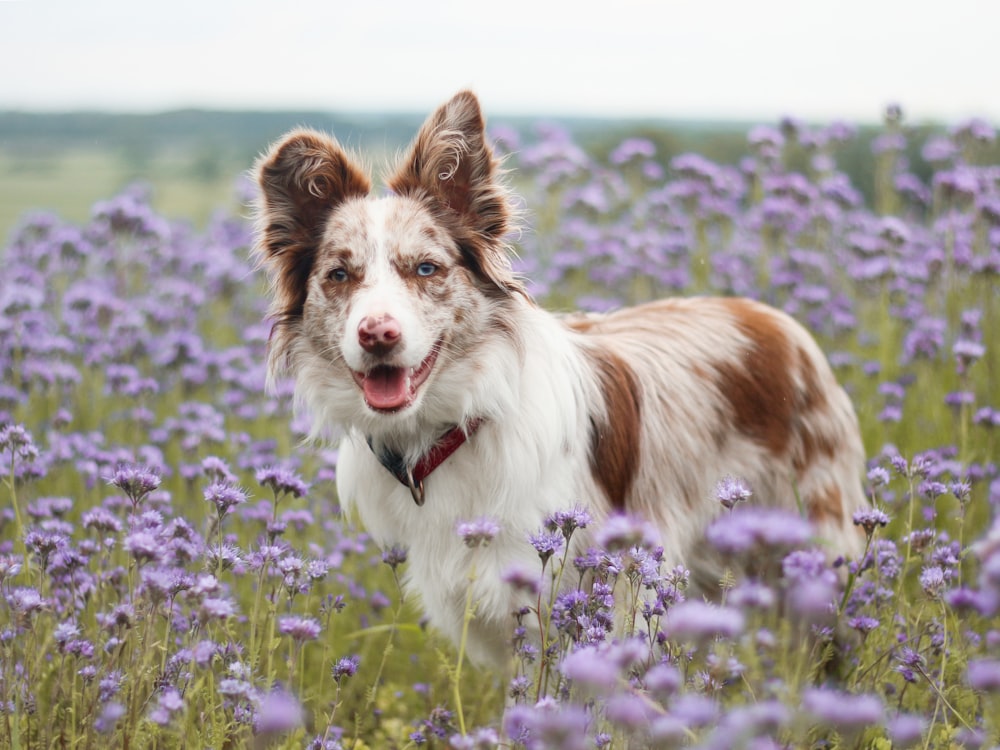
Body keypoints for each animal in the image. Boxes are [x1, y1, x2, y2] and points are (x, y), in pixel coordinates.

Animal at [252, 89, 868, 668]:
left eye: (426, 268)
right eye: (339, 275)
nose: (376, 334)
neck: (454, 427)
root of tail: (769, 316)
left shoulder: (602, 594)